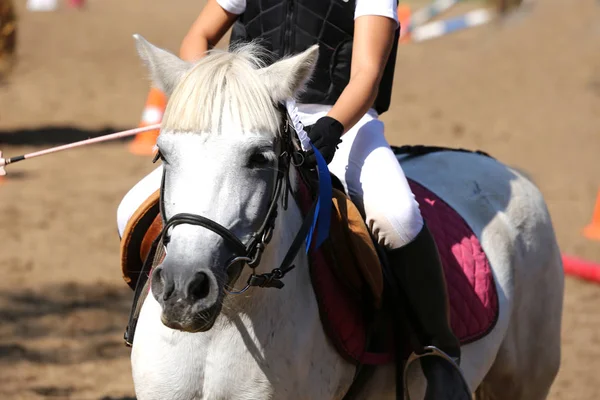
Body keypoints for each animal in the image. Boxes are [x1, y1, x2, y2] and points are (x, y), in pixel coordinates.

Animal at [129, 35, 564, 400]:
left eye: (259, 158)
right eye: (163, 154)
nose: (184, 289)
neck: (225, 323)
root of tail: (503, 170)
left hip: (524, 378)